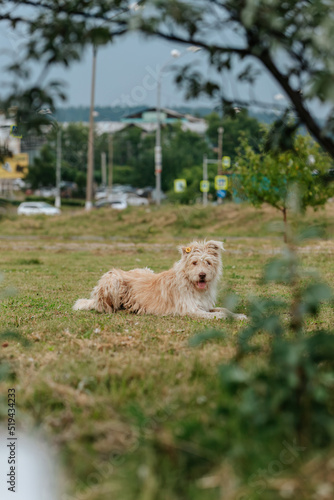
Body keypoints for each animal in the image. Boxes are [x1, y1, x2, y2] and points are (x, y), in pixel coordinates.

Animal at [73, 242, 247, 320]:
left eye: (208, 262)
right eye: (194, 263)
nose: (202, 275)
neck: (190, 283)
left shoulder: (204, 306)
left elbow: (224, 310)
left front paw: (240, 316)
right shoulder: (190, 310)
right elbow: (220, 315)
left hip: (145, 269)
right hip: (113, 280)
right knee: (107, 308)